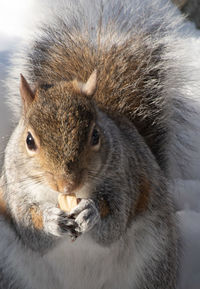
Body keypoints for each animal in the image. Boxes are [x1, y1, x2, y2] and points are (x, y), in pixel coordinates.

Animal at [0, 0, 184, 286]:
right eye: (29, 140)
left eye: (96, 135)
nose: (67, 184)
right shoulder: (14, 191)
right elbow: (31, 231)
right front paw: (50, 219)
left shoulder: (126, 177)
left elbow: (115, 224)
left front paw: (91, 211)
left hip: (153, 260)